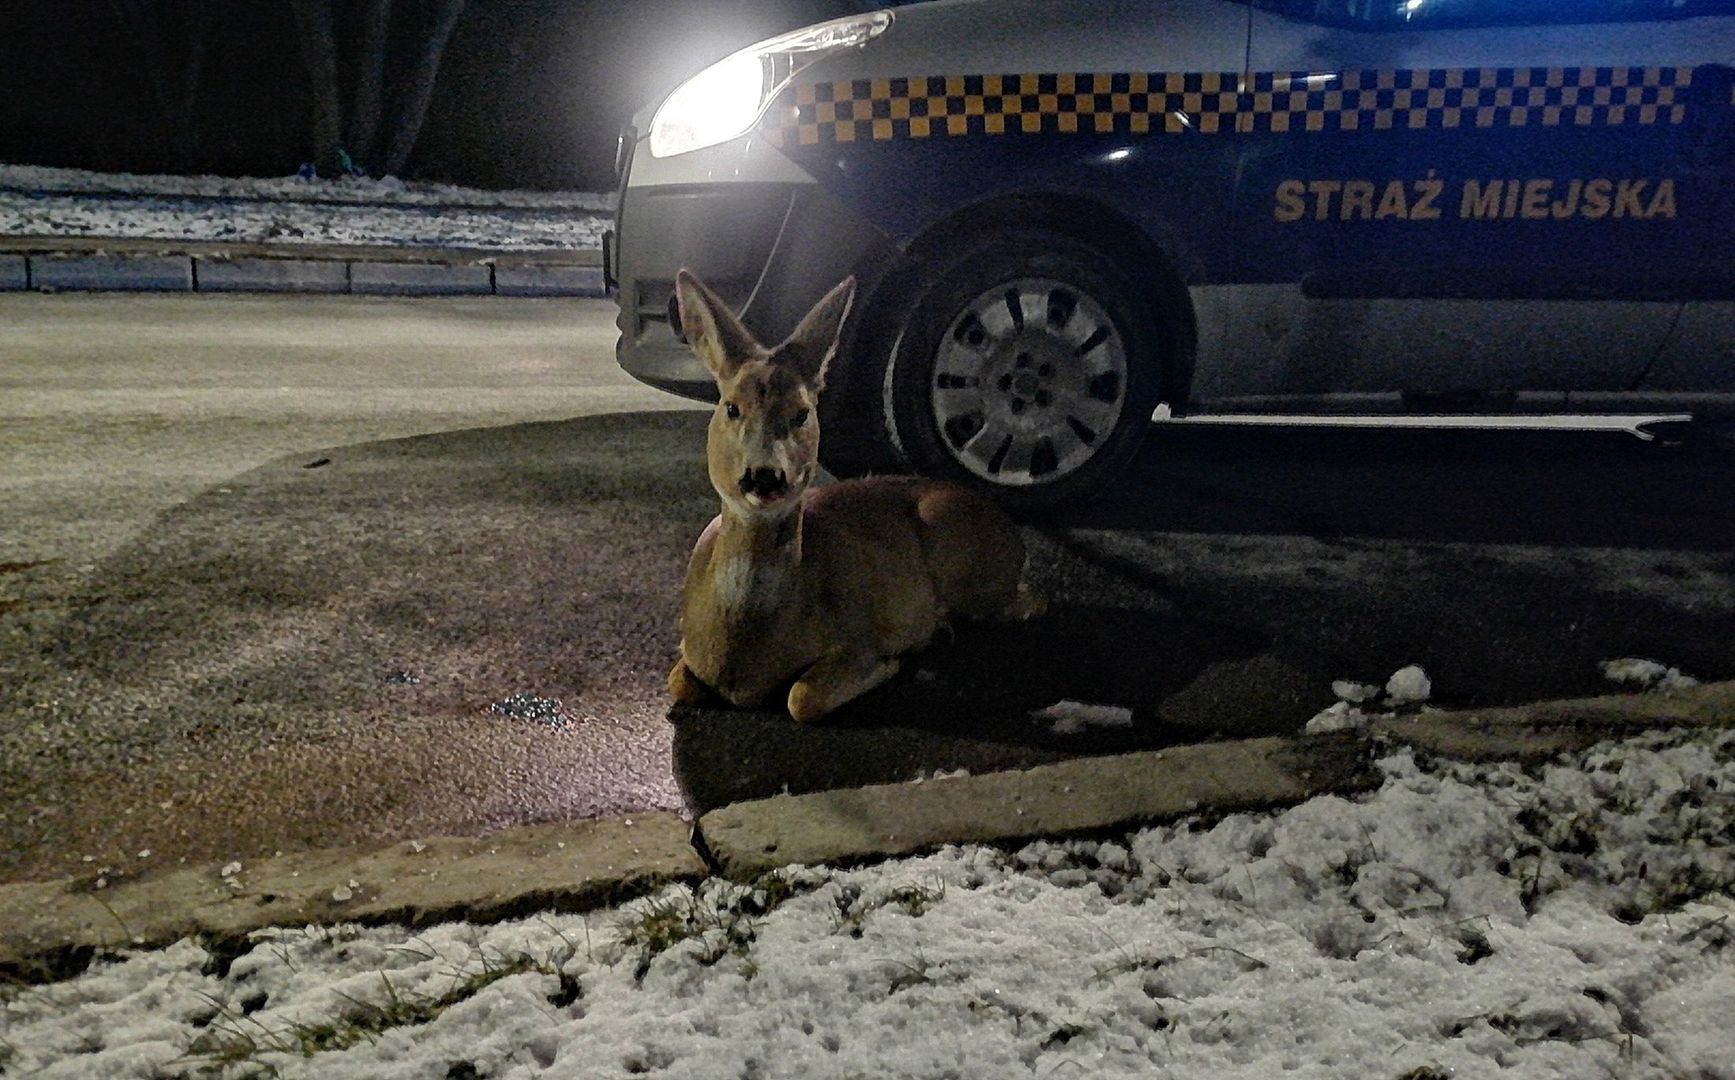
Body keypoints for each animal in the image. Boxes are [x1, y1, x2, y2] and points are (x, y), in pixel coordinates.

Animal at [669, 270, 1034, 729]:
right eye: (731, 407)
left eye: (802, 413)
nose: (765, 476)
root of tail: (1012, 534)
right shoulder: (686, 648)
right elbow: (679, 684)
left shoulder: (858, 637)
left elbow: (802, 698)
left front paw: (893, 662)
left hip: (971, 564)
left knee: (1027, 600)